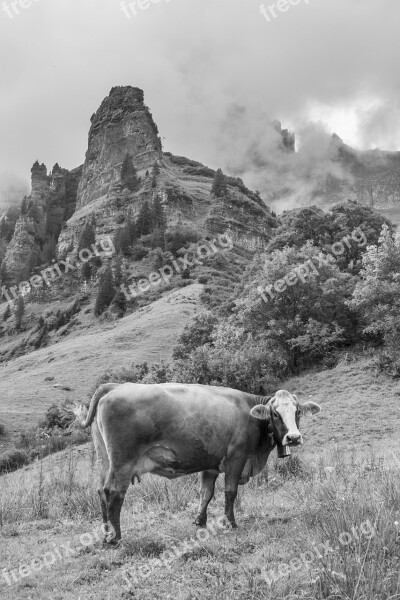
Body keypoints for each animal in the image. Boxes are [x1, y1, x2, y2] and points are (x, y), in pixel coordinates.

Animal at [74, 384, 318, 544]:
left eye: (297, 411)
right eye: (276, 414)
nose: (293, 438)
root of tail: (115, 386)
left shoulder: (210, 464)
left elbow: (205, 493)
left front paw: (199, 521)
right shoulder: (236, 458)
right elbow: (230, 492)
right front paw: (230, 523)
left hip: (105, 460)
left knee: (101, 491)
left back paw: (106, 532)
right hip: (122, 462)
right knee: (113, 492)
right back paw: (115, 537)